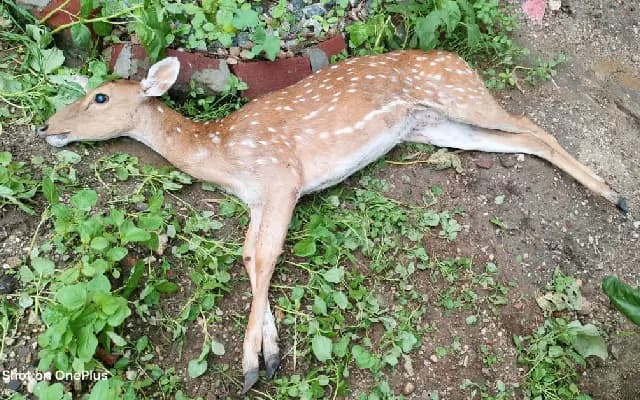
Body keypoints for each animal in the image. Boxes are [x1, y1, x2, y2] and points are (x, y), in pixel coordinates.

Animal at [38, 49, 628, 393]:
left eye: (99, 96)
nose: (47, 127)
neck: (221, 153)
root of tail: (458, 56)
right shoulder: (258, 200)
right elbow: (250, 256)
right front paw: (270, 352)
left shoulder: (281, 178)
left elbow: (266, 257)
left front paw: (253, 365)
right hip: (435, 126)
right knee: (524, 141)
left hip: (461, 96)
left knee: (530, 122)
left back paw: (615, 196)